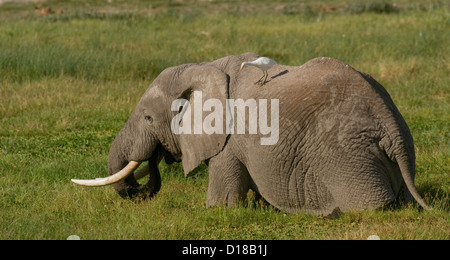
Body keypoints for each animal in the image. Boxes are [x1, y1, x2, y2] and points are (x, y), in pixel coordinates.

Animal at [72, 51, 430, 214]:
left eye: (147, 117)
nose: (157, 155)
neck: (205, 67)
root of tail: (392, 127)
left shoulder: (230, 142)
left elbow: (221, 201)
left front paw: (216, 209)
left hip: (347, 155)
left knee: (369, 208)